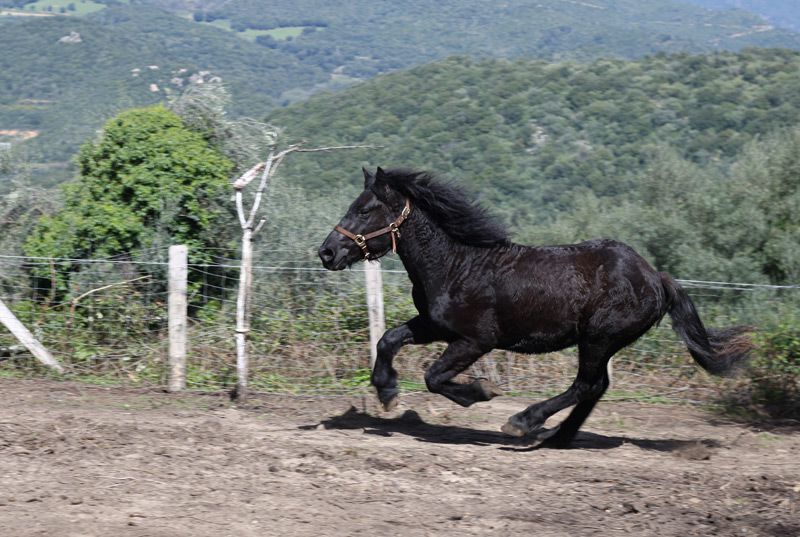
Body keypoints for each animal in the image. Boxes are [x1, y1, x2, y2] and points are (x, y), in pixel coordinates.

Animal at [318, 167, 752, 447]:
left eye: (365, 209)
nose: (327, 252)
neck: (458, 264)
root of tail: (655, 277)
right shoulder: (434, 325)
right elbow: (388, 339)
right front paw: (387, 393)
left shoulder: (475, 340)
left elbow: (434, 377)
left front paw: (481, 391)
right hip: (601, 343)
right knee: (595, 387)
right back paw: (555, 437)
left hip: (598, 338)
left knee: (587, 384)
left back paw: (524, 423)